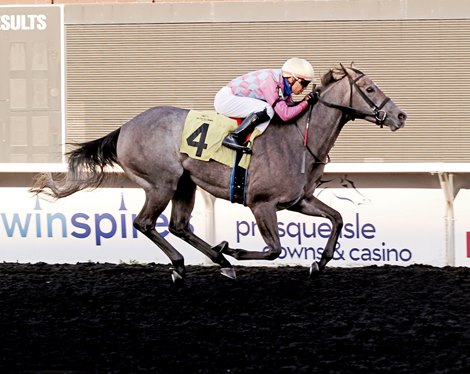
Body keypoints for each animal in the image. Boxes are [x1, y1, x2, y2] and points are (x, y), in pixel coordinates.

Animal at [32, 64, 408, 280]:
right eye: (370, 89)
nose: (400, 116)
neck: (298, 138)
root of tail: (124, 128)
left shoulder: (299, 200)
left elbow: (338, 218)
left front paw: (321, 261)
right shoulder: (261, 203)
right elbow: (274, 249)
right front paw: (236, 250)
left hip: (184, 184)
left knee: (178, 226)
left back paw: (217, 260)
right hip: (161, 183)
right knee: (145, 223)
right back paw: (188, 262)